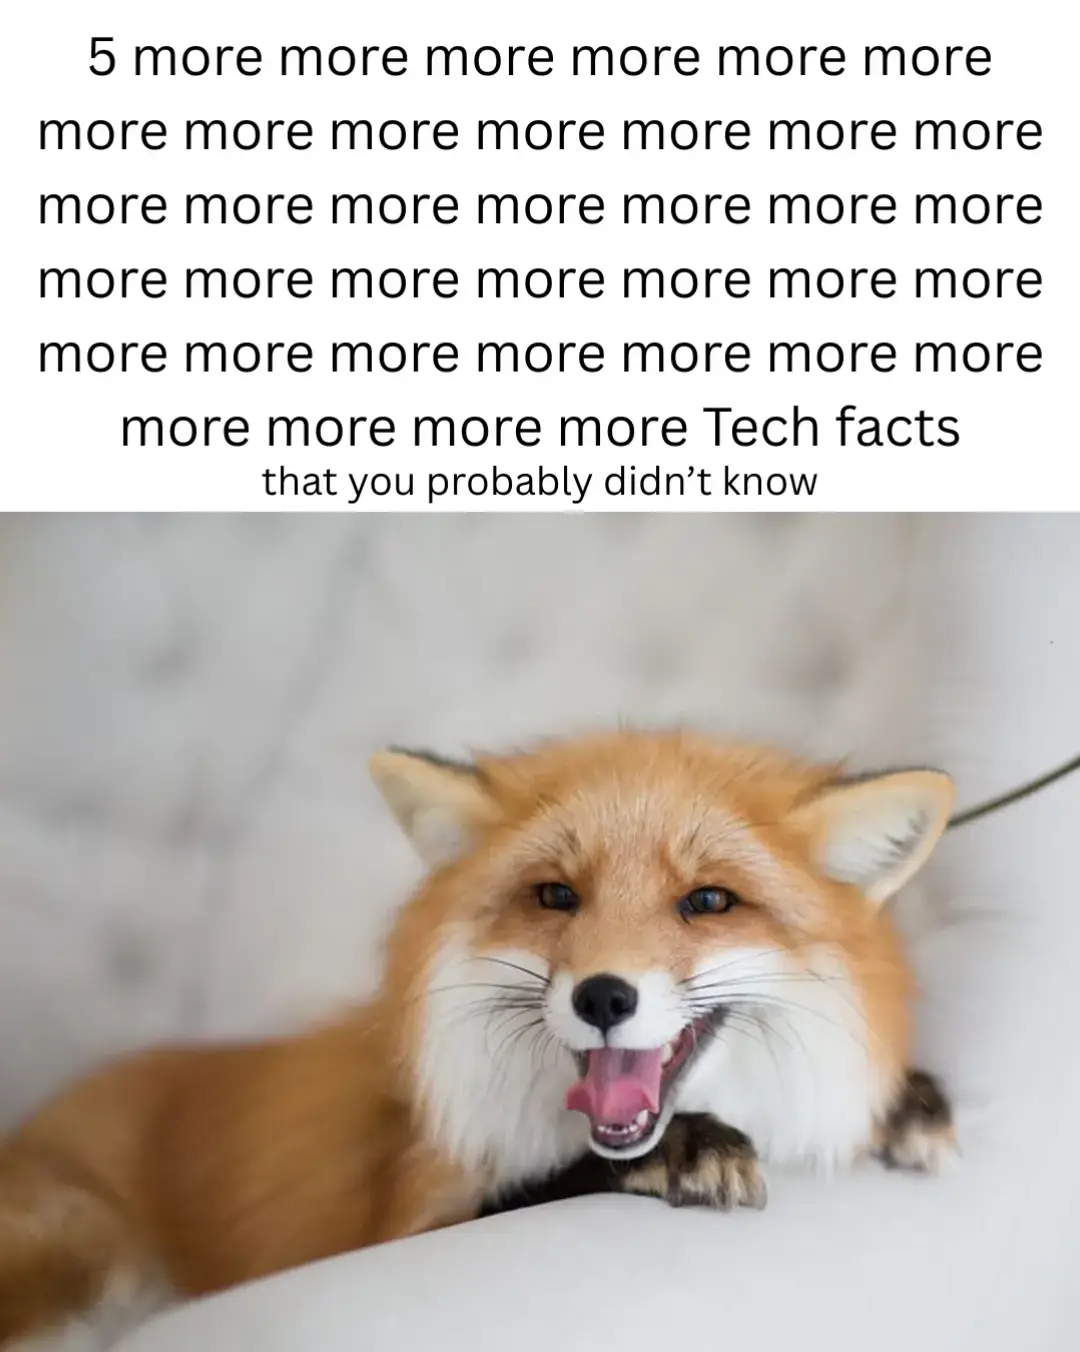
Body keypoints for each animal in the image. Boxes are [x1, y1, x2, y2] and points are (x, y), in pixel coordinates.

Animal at [0, 730, 957, 1349]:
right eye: (556, 896)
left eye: (709, 901)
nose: (603, 995)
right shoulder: (408, 1222)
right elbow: (545, 1187)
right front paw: (680, 1150)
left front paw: (906, 1105)